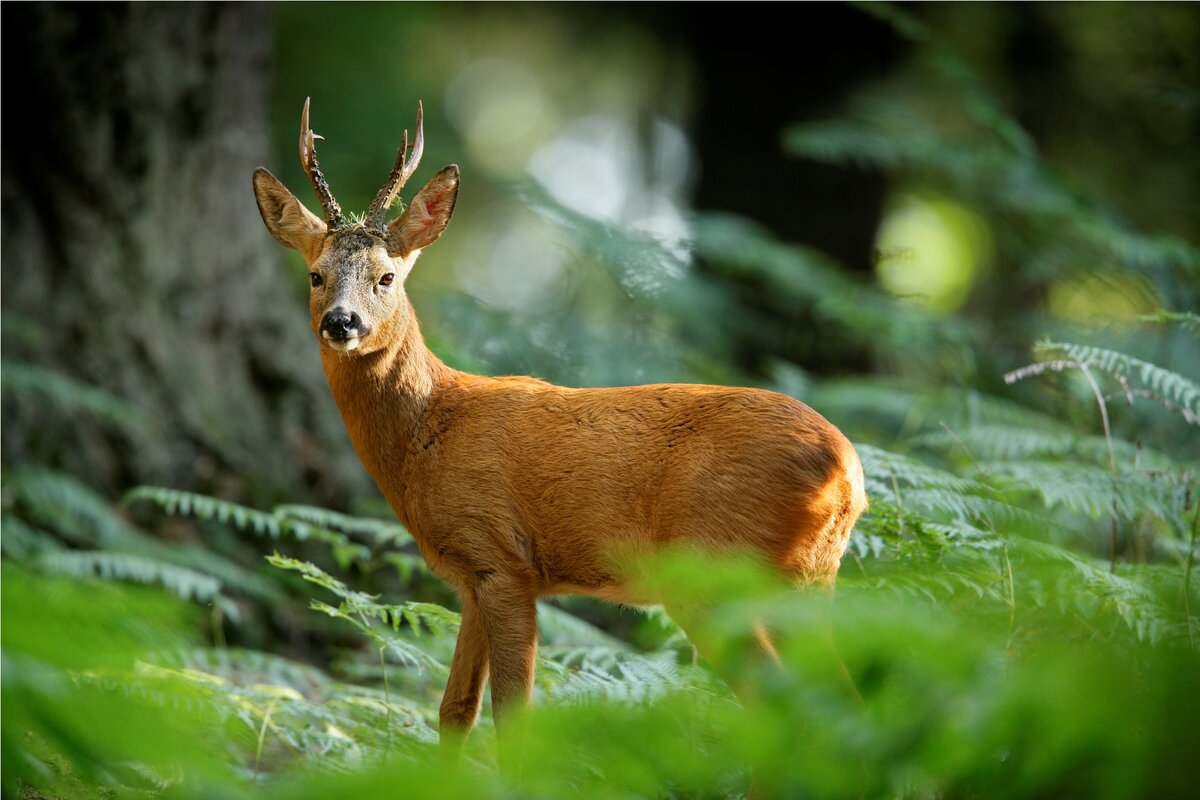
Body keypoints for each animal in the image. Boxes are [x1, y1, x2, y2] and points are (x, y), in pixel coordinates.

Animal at [250, 98, 864, 758]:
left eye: (386, 277)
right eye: (315, 274)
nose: (342, 323)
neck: (431, 431)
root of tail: (850, 473)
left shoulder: (501, 557)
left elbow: (512, 718)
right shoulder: (471, 576)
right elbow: (454, 710)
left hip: (717, 568)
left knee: (780, 700)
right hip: (811, 578)